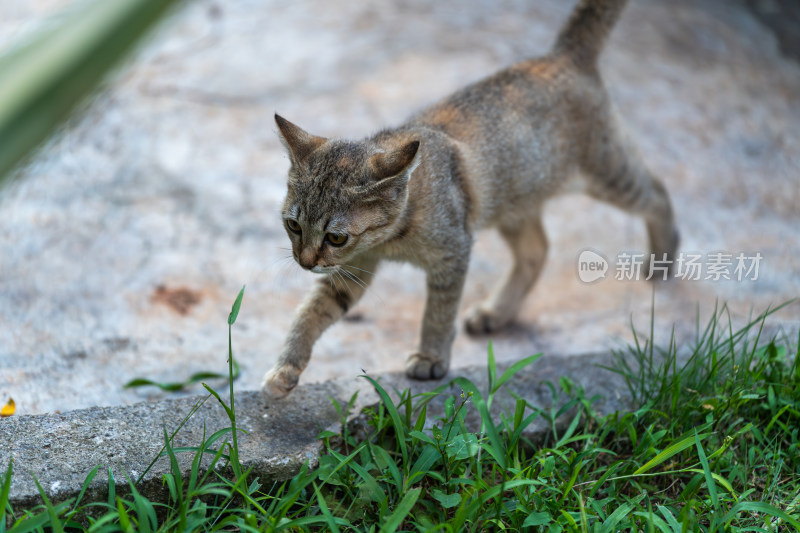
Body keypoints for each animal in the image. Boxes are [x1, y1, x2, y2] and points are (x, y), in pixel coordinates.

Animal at [260, 0, 676, 400]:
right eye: (293, 225)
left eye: (336, 237)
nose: (304, 261)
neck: (393, 237)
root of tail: (562, 54)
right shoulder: (354, 269)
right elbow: (311, 313)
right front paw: (285, 369)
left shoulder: (452, 252)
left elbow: (438, 313)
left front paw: (430, 358)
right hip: (515, 203)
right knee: (537, 249)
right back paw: (497, 311)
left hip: (608, 173)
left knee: (658, 191)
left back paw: (663, 258)